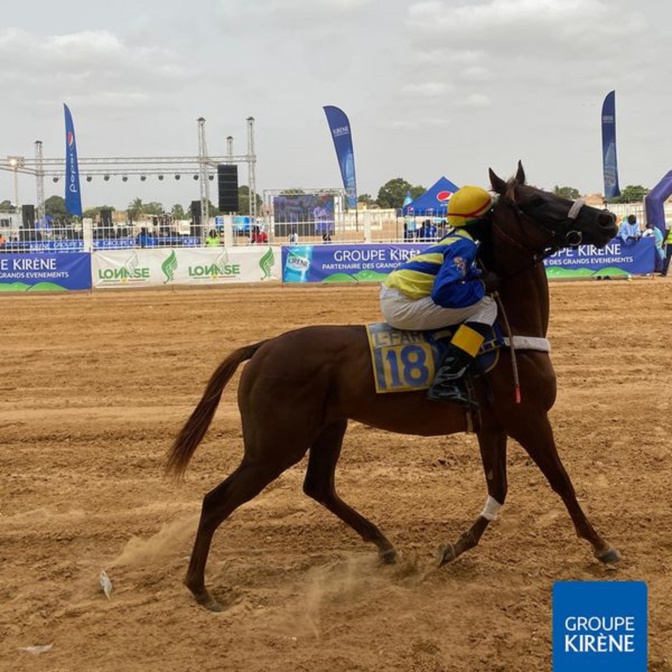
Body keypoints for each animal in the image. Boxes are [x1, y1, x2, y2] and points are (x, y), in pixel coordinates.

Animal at [167, 161, 620, 608]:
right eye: (537, 201)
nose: (607, 219)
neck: (509, 331)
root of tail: (262, 347)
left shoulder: (494, 426)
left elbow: (500, 489)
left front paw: (453, 548)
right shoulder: (528, 418)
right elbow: (561, 480)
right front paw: (601, 546)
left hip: (327, 427)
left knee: (319, 486)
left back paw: (384, 546)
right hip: (275, 445)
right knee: (216, 500)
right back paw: (200, 588)